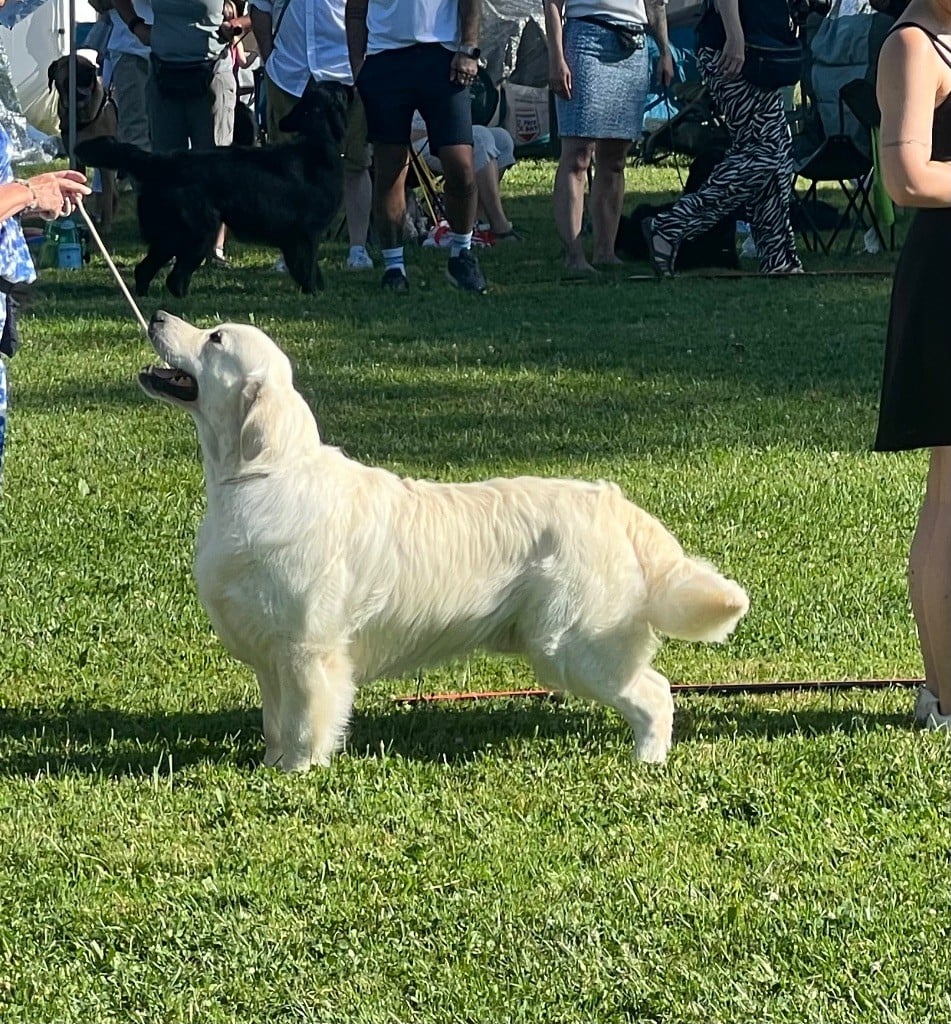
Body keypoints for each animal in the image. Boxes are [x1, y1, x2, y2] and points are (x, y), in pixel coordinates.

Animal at [47, 55, 119, 234]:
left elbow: (107, 195)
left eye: (89, 66)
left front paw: (105, 226)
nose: (91, 72)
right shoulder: (77, 162)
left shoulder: (105, 163)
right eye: (70, 63)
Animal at [76, 83, 347, 298]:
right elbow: (308, 269)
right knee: (174, 278)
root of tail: (159, 162)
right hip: (198, 231)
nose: (351, 84)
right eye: (342, 89)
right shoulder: (307, 233)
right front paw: (314, 294)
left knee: (145, 270)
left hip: (172, 235)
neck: (316, 142)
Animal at [140, 312, 750, 772]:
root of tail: (614, 502)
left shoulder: (307, 649)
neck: (259, 475)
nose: (158, 315)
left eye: (216, 338)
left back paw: (646, 760)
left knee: (656, 693)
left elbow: (303, 724)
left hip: (575, 644)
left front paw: (295, 774)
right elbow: (274, 720)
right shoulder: (269, 651)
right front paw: (269, 766)